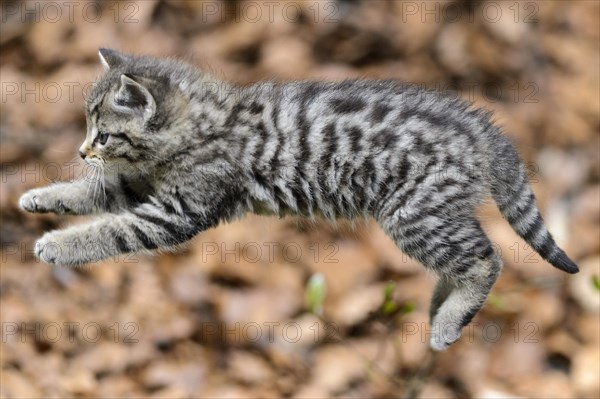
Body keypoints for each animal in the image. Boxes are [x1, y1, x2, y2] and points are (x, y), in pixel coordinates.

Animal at [21, 49, 580, 350]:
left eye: (104, 134)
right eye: (88, 129)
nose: (82, 149)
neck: (206, 125)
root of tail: (481, 128)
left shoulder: (179, 208)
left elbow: (111, 229)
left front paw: (59, 246)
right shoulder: (143, 184)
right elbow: (94, 192)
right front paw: (40, 196)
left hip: (413, 214)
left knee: (486, 259)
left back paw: (447, 322)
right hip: (432, 213)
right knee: (468, 255)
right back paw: (441, 306)